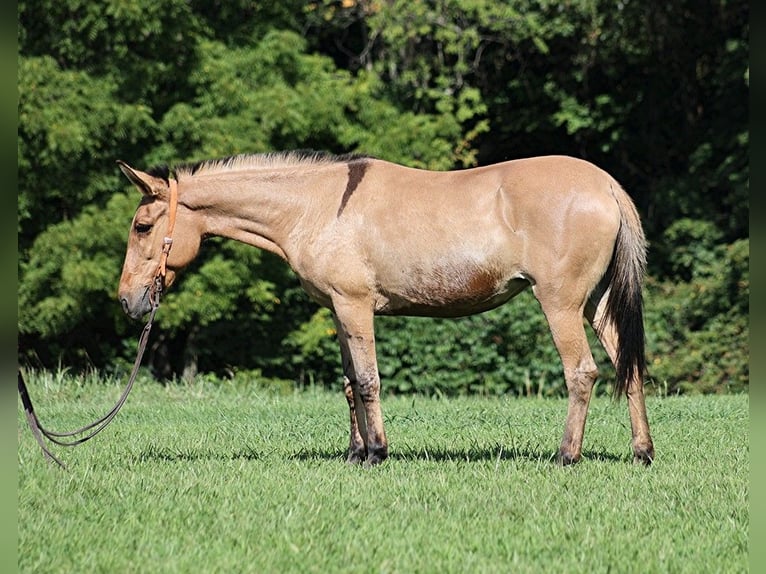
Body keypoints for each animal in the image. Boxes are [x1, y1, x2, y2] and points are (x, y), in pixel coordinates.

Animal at [117, 152, 656, 468]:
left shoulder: (355, 306)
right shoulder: (337, 311)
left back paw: (566, 456)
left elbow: (369, 379)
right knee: (628, 368)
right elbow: (349, 382)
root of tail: (606, 184)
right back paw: (642, 452)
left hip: (560, 303)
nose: (127, 300)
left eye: (143, 226)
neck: (317, 207)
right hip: (597, 303)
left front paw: (377, 452)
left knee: (582, 372)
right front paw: (355, 453)